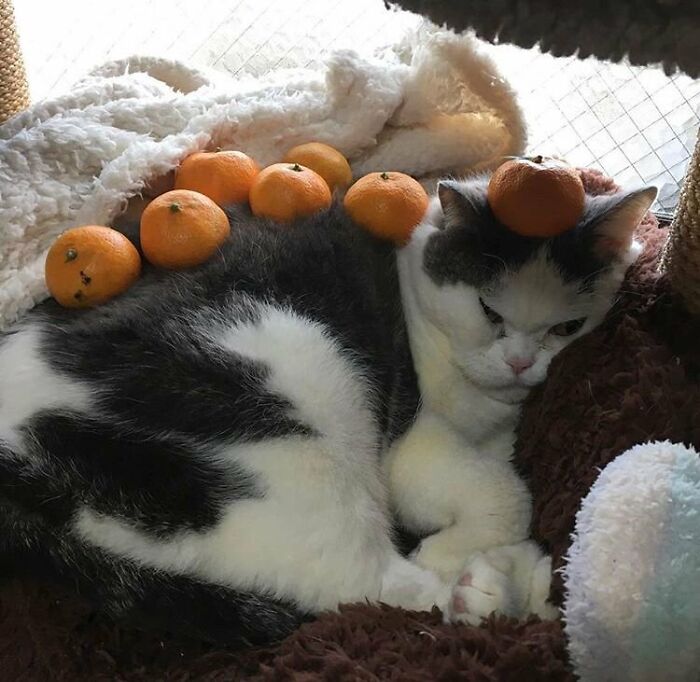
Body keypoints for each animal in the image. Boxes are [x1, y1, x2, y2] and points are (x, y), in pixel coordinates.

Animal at [0, 175, 656, 644]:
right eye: (488, 310)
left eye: (566, 329)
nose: (520, 364)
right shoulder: (411, 445)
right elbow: (505, 494)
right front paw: (455, 550)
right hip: (294, 413)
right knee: (370, 587)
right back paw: (508, 591)